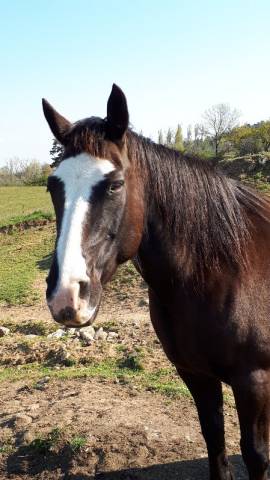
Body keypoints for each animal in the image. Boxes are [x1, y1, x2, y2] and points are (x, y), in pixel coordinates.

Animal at [42, 86, 270, 480]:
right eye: (53, 187)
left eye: (115, 185)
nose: (66, 295)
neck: (223, 272)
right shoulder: (195, 374)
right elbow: (215, 439)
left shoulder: (254, 382)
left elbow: (255, 455)